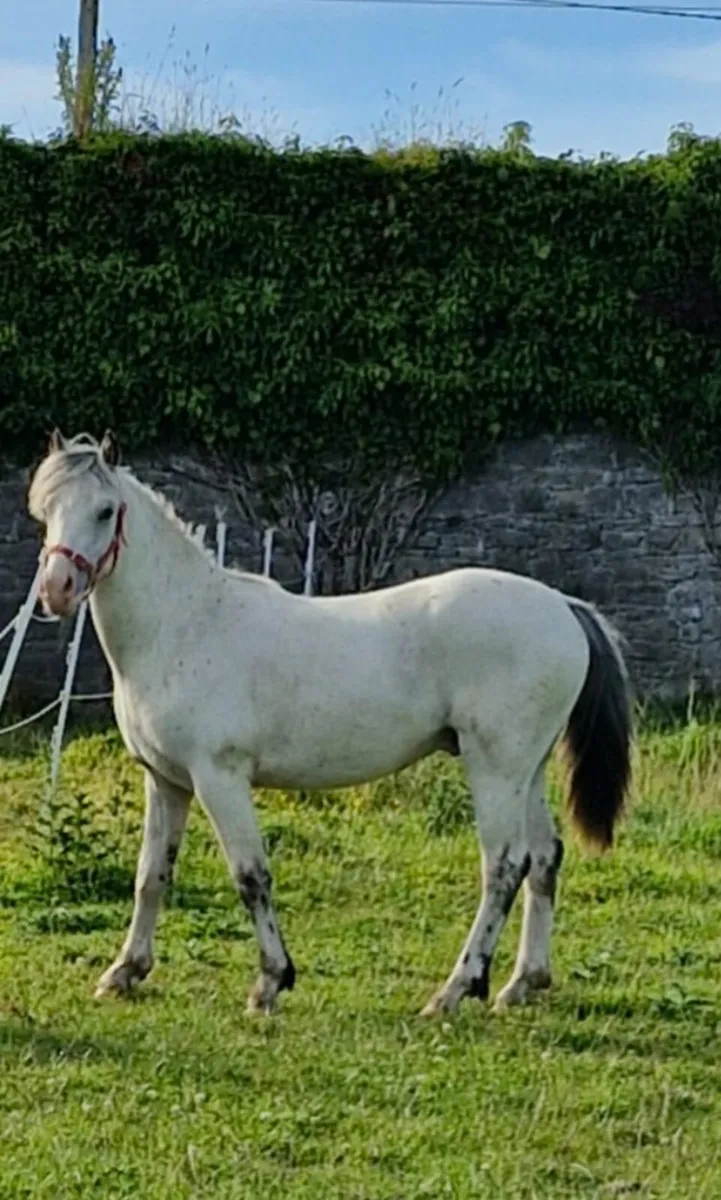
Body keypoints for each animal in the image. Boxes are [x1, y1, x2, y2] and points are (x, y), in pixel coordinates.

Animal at [28, 430, 633, 1017]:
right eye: (45, 509)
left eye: (105, 510)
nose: (57, 589)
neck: (184, 624)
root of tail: (562, 606)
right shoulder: (167, 781)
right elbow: (151, 876)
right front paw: (124, 973)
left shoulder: (219, 778)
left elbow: (251, 877)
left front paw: (270, 984)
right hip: (525, 771)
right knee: (544, 859)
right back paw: (521, 984)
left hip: (495, 770)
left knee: (505, 866)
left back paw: (454, 992)